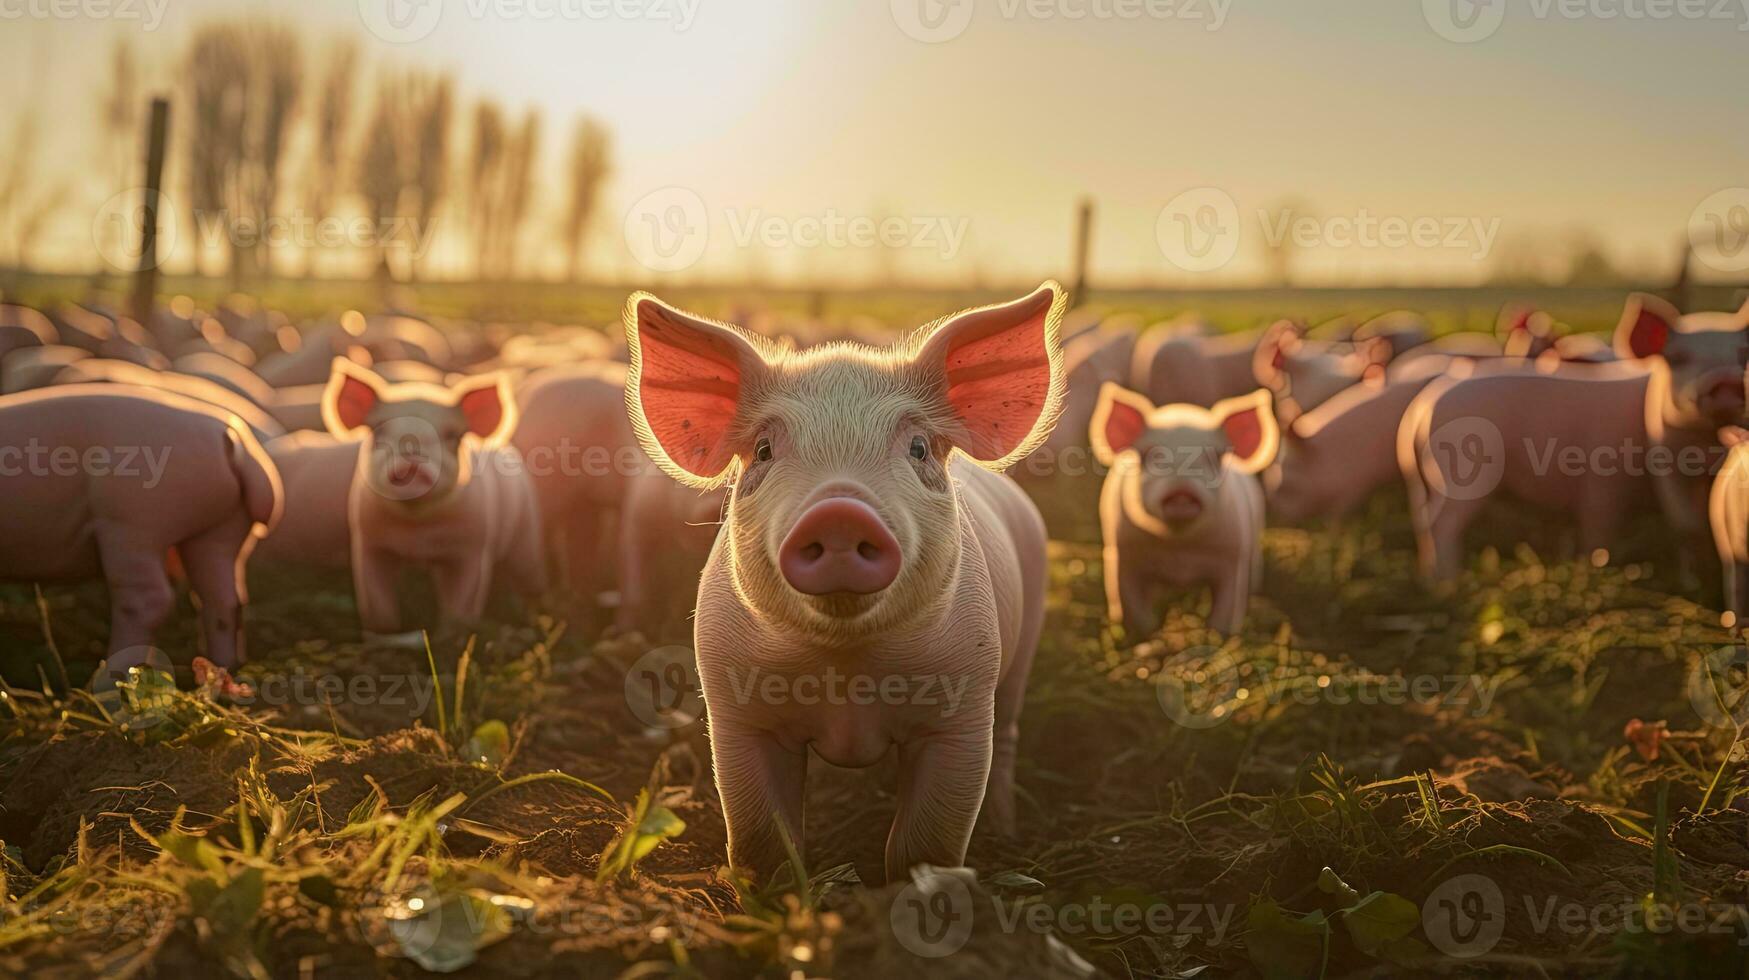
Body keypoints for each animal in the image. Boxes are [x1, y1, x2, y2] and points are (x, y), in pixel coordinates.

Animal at [0, 383, 279, 665]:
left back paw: (110, 674)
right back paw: (222, 669)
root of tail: (233, 441)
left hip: (133, 521)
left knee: (147, 600)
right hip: (220, 530)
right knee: (224, 600)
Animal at [321, 360, 545, 637]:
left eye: (452, 436)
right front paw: (383, 634)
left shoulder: (473, 546)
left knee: (529, 580)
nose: (412, 456)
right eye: (378, 431)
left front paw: (451, 636)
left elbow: (461, 602)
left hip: (526, 533)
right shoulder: (367, 542)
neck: (418, 534)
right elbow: (376, 603)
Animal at [629, 283, 1063, 882]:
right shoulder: (735, 709)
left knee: (1012, 736)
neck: (846, 668)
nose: (839, 512)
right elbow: (762, 839)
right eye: (763, 450)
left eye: (919, 447)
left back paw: (1005, 828)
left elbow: (925, 843)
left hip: (1024, 647)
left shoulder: (963, 710)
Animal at [1084, 383, 1280, 637]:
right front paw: (1143, 636)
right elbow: (1132, 607)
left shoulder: (1232, 556)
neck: (1180, 550)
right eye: (1150, 454)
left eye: (1215, 456)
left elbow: (1225, 611)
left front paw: (1219, 637)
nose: (1182, 489)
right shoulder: (1122, 554)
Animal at [1406, 290, 1749, 581]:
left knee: (1423, 520)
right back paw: (1449, 585)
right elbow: (1664, 529)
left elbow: (1691, 530)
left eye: (1744, 355)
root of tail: (1423, 409)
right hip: (1464, 476)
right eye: (1677, 358)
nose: (1726, 381)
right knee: (1440, 525)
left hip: (1434, 480)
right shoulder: (1612, 482)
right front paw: (1600, 570)